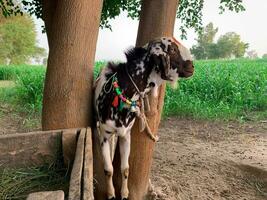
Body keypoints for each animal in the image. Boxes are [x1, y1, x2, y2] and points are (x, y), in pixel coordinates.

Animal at [94, 36, 195, 199]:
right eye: (173, 49)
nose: (192, 67)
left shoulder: (126, 134)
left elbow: (125, 168)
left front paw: (124, 194)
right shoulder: (104, 134)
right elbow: (108, 169)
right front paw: (110, 194)